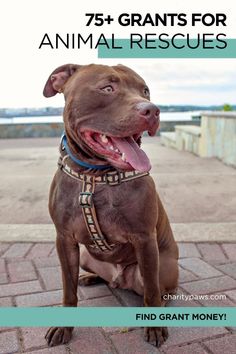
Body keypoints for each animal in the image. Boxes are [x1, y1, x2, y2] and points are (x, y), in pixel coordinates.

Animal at [42, 64, 179, 348]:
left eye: (145, 90)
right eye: (107, 88)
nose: (152, 110)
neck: (95, 176)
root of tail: (120, 280)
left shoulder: (144, 240)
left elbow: (151, 292)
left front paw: (155, 327)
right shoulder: (65, 239)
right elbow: (68, 288)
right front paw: (64, 325)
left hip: (162, 267)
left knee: (159, 290)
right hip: (86, 256)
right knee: (100, 276)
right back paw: (91, 277)